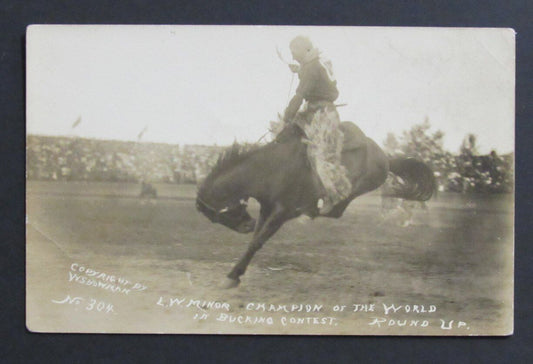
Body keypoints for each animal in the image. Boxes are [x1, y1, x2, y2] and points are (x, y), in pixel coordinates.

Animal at [195, 122, 432, 288]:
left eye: (220, 215)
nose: (247, 225)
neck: (269, 169)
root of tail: (386, 157)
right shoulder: (266, 210)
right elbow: (255, 241)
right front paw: (237, 273)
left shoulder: (281, 212)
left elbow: (257, 242)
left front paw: (231, 276)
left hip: (362, 183)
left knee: (339, 207)